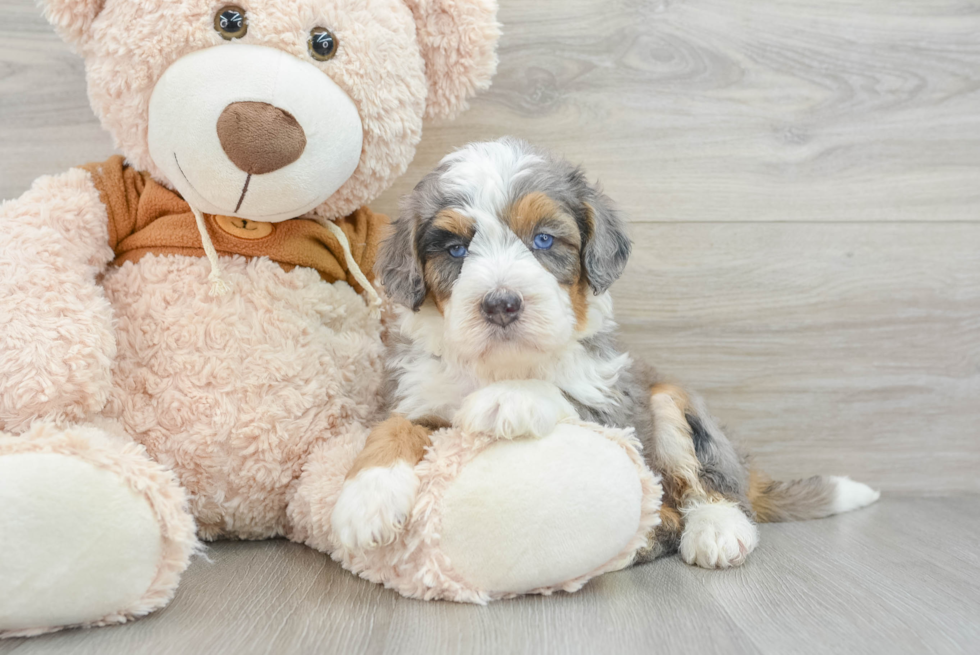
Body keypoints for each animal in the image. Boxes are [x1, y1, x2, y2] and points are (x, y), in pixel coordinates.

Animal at [332, 137, 880, 568]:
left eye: (543, 239)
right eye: (455, 250)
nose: (502, 304)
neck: (502, 363)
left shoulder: (611, 406)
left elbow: (561, 395)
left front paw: (510, 398)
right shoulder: (418, 395)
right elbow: (392, 429)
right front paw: (365, 497)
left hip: (671, 402)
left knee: (712, 490)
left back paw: (716, 530)